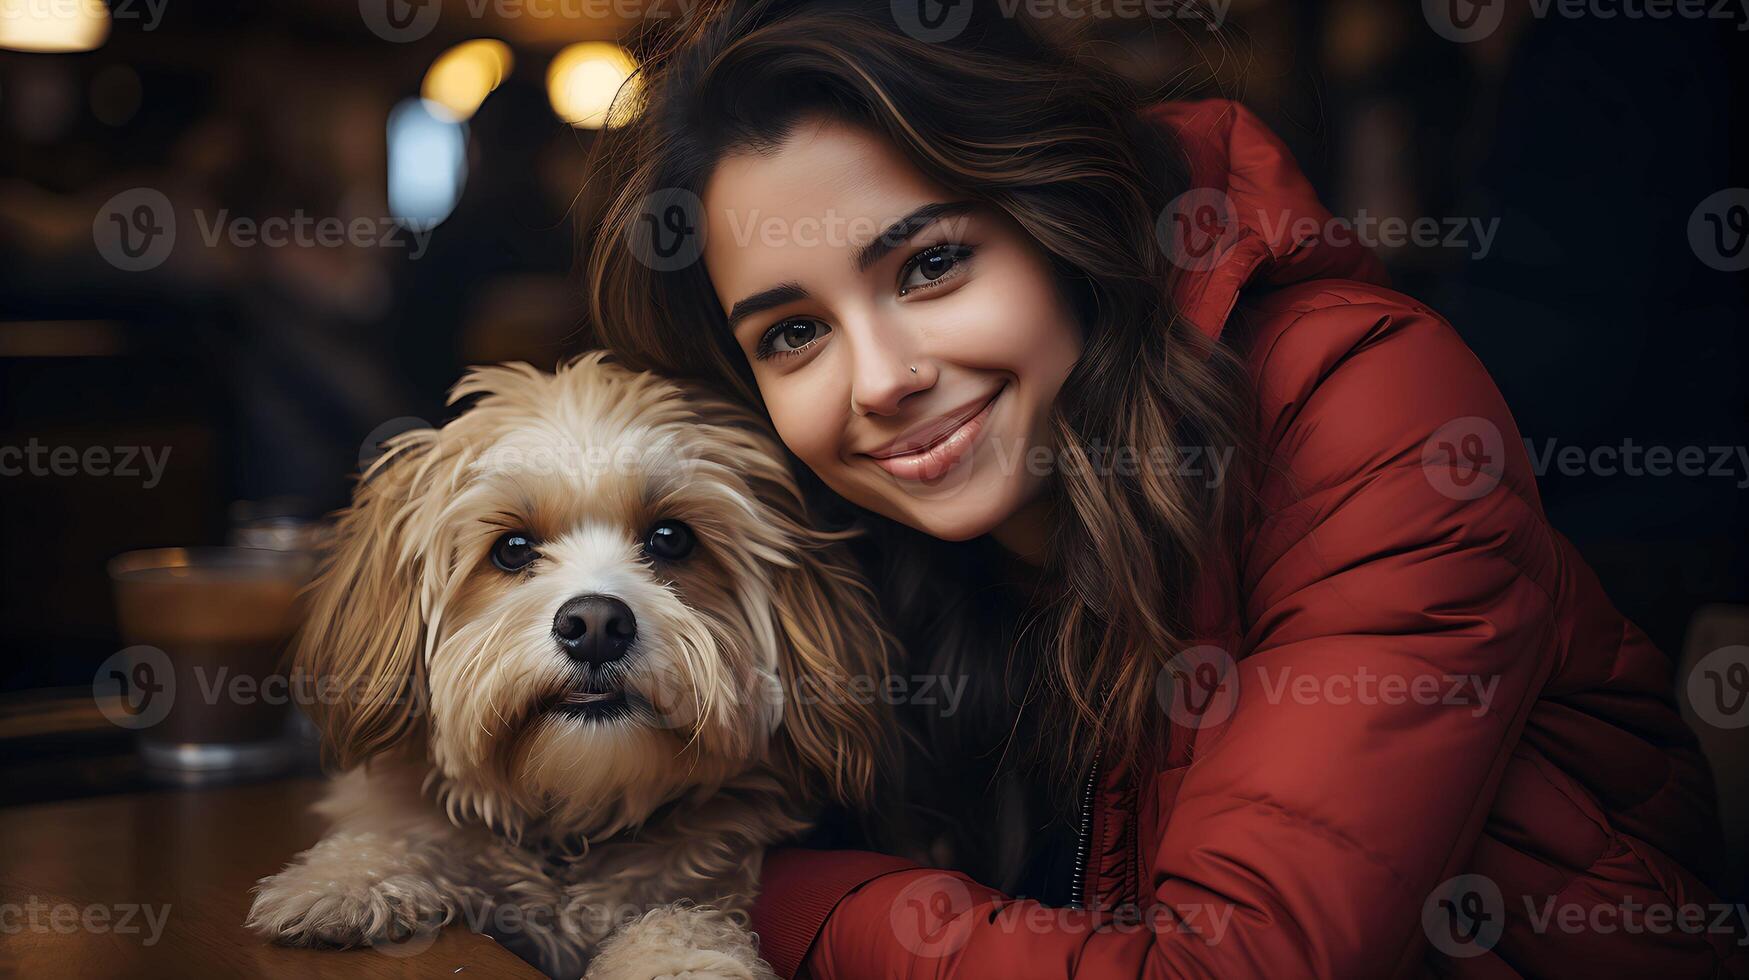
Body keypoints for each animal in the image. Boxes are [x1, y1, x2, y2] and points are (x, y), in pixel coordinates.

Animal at [246, 355, 895, 973]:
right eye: (512, 549)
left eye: (671, 538)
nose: (597, 627)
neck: (574, 827)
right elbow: (398, 836)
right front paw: (343, 883)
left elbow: (680, 919)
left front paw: (680, 963)